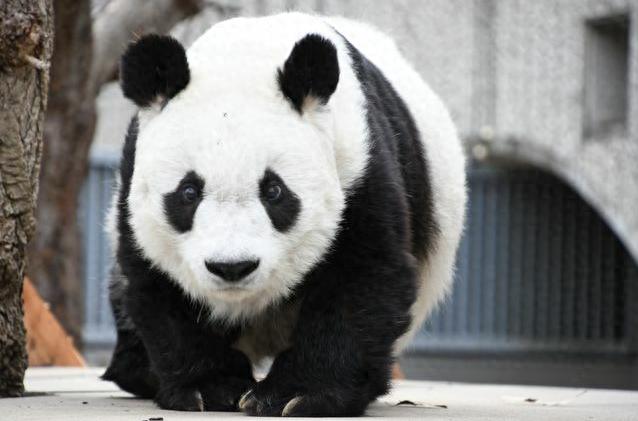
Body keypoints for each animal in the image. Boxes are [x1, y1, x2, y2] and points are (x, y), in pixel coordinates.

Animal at [102, 11, 468, 416]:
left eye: (274, 191)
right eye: (188, 192)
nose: (233, 267)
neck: (246, 55)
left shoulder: (359, 168)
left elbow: (361, 277)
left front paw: (299, 395)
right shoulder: (133, 187)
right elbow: (160, 286)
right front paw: (212, 388)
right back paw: (140, 370)